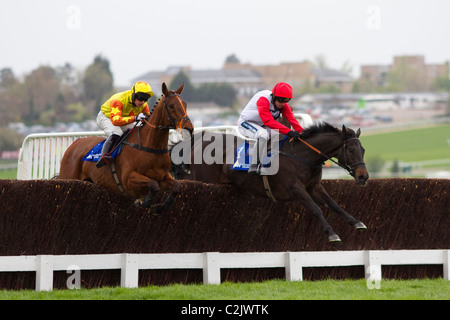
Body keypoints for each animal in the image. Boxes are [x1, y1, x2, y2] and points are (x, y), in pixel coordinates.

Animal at [59, 82, 192, 212]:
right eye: (171, 106)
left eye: (185, 104)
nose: (189, 128)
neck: (151, 147)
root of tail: (74, 144)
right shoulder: (128, 179)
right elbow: (153, 185)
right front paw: (143, 201)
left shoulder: (164, 176)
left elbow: (176, 187)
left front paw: (160, 207)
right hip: (68, 177)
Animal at [171, 121, 370, 241]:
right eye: (351, 149)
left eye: (363, 149)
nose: (363, 176)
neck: (302, 156)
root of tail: (199, 140)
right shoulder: (295, 189)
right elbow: (316, 209)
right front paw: (332, 234)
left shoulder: (314, 187)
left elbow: (334, 205)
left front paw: (357, 223)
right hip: (204, 180)